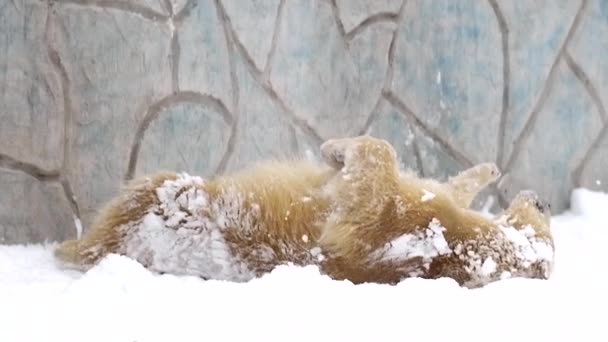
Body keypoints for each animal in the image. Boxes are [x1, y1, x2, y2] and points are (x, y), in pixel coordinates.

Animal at [54, 135, 552, 288]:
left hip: (160, 187)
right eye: (543, 222)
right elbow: (442, 182)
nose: (543, 200)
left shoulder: (377, 216)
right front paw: (486, 170)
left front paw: (335, 149)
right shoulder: (426, 203)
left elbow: (378, 153)